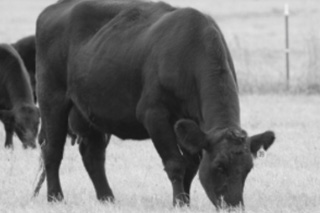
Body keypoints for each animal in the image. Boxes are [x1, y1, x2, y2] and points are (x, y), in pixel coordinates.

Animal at [35, 0, 276, 210]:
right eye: (219, 165)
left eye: (249, 168)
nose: (234, 206)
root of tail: (53, 8)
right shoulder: (154, 114)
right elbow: (175, 163)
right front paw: (179, 202)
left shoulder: (188, 126)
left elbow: (191, 165)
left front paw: (185, 201)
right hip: (52, 98)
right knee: (52, 150)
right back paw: (55, 197)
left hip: (90, 110)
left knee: (93, 155)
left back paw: (107, 198)